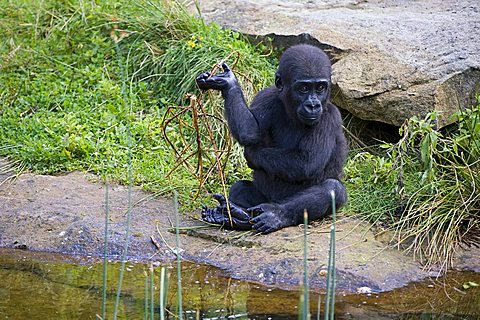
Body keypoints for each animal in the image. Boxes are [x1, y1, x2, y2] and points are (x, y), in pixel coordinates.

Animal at [197, 43, 346, 234]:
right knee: (240, 189)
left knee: (332, 188)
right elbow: (250, 131)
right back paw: (238, 216)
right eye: (303, 88)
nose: (313, 105)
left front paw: (253, 156)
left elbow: (307, 162)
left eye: (320, 88)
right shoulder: (266, 96)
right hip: (263, 199)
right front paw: (228, 83)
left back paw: (275, 215)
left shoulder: (329, 117)